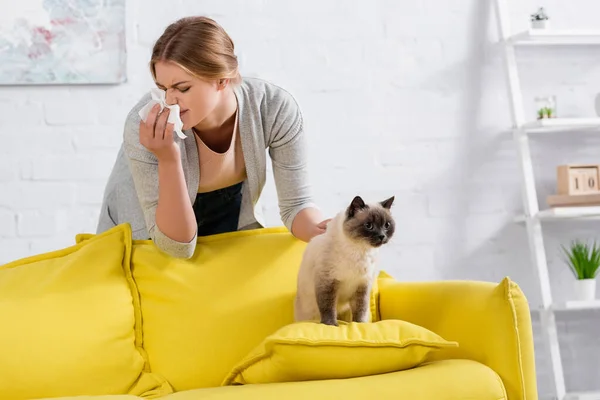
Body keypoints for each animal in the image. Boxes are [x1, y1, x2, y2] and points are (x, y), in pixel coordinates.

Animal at [294, 195, 396, 326]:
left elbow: (360, 310)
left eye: (387, 225)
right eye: (369, 225)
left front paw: (359, 325)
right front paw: (331, 325)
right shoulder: (327, 282)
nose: (382, 236)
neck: (360, 250)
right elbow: (328, 307)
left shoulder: (362, 286)